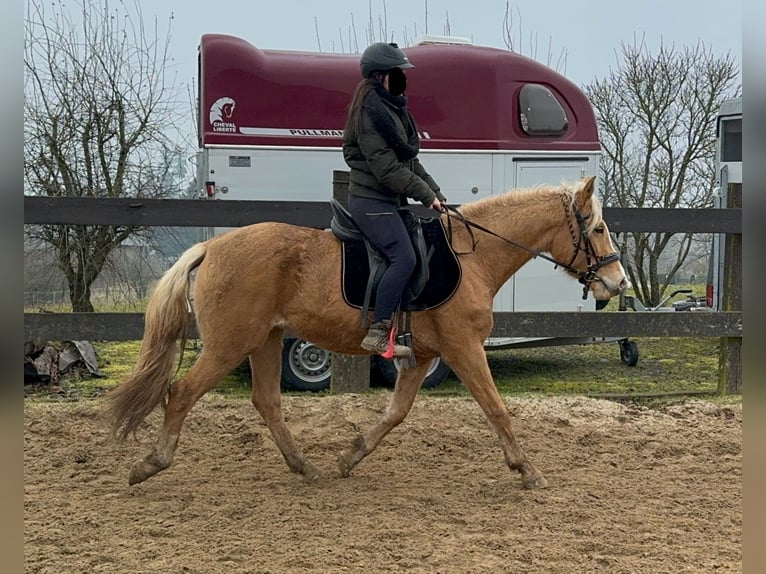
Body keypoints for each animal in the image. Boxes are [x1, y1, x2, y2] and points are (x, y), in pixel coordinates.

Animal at [105, 176, 628, 490]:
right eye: (599, 228)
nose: (618, 282)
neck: (473, 256)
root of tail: (212, 247)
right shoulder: (463, 347)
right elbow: (497, 409)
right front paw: (528, 471)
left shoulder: (422, 356)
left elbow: (396, 412)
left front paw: (350, 456)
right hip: (229, 344)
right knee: (182, 393)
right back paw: (150, 464)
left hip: (264, 340)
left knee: (267, 402)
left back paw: (307, 468)